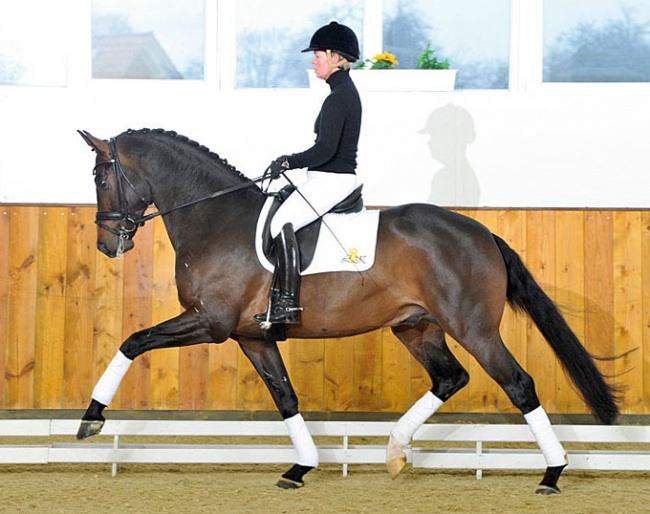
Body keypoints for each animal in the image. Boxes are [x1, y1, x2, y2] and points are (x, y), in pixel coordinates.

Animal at [77, 127, 616, 492]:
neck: (215, 217)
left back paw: (552, 473)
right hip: (416, 327)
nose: (107, 245)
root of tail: (482, 232)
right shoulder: (252, 336)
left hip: (474, 328)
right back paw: (396, 452)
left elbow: (132, 342)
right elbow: (286, 398)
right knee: (450, 378)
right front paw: (300, 467)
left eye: (101, 176)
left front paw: (91, 419)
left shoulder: (211, 323)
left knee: (518, 384)